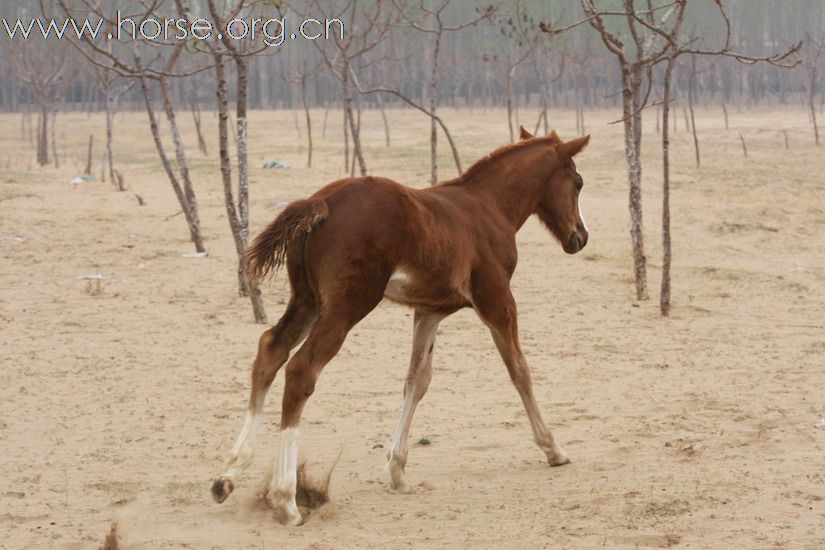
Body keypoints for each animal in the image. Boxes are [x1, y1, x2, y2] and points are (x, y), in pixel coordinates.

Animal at [211, 128, 584, 528]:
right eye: (577, 183)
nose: (580, 237)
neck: (489, 207)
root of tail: (320, 201)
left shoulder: (429, 312)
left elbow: (417, 380)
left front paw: (397, 470)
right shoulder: (496, 300)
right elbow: (519, 369)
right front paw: (553, 448)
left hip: (308, 300)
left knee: (270, 350)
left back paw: (228, 476)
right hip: (348, 305)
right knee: (300, 370)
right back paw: (286, 500)